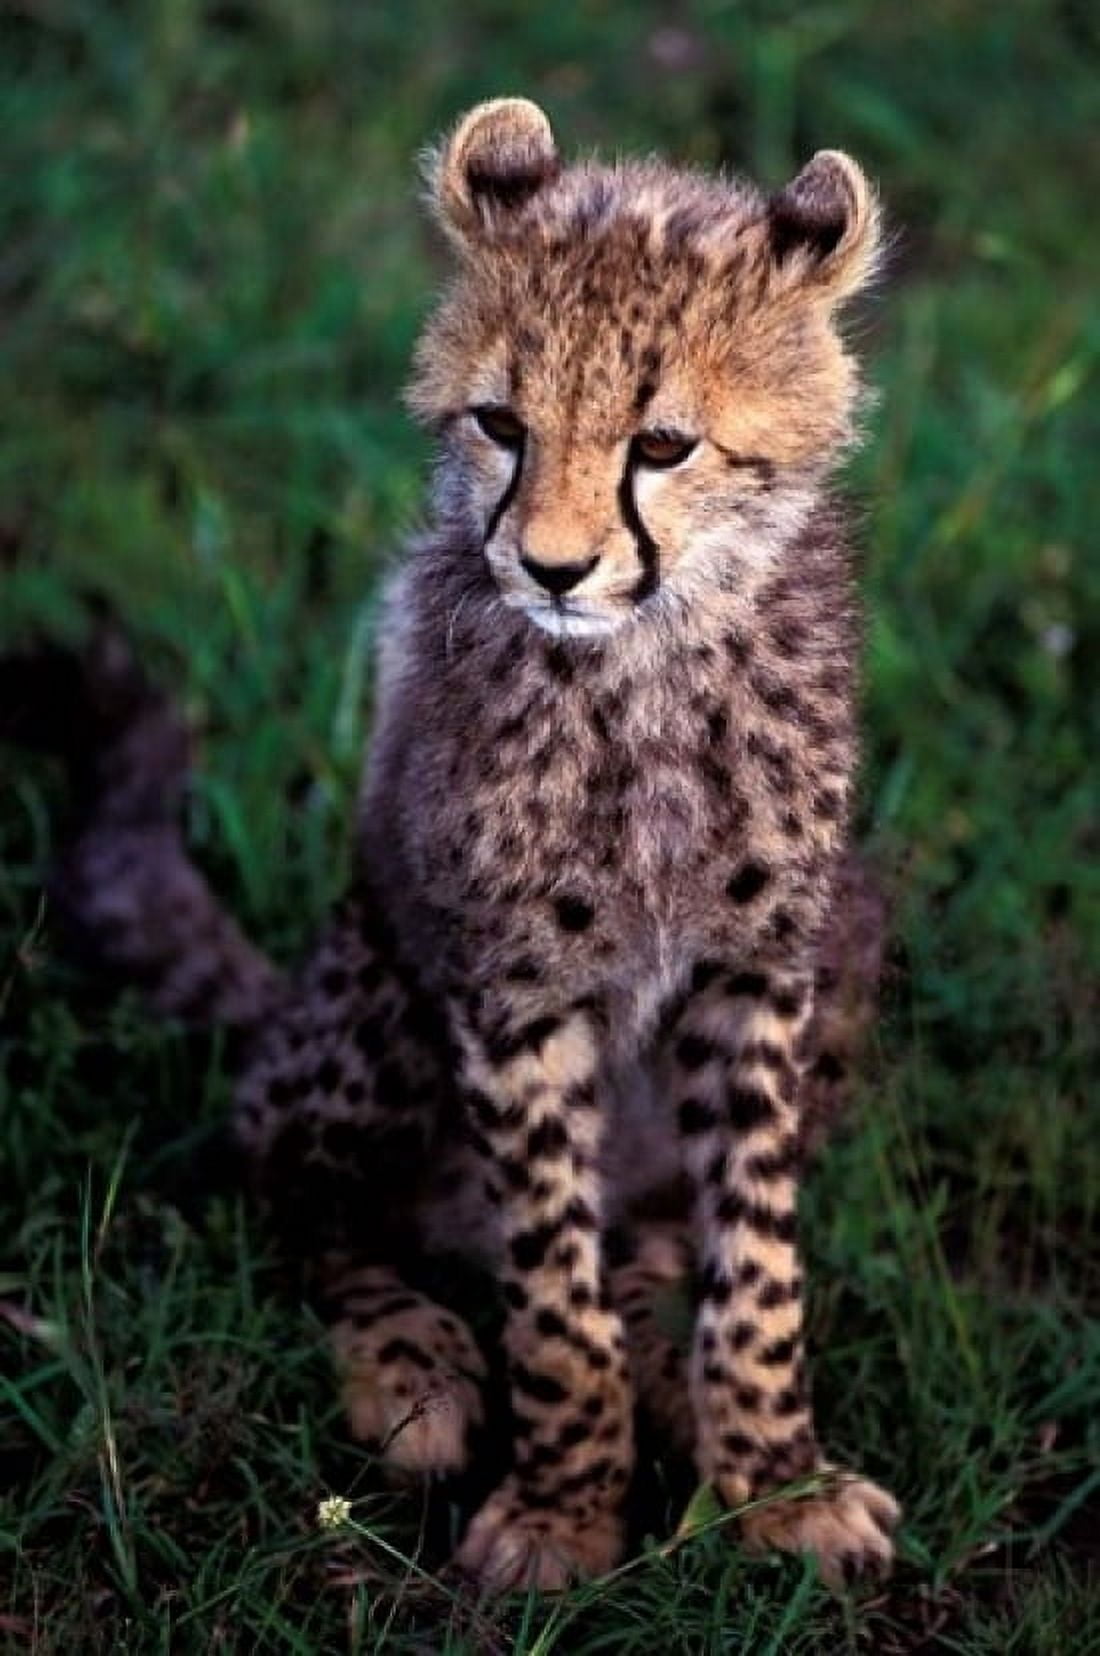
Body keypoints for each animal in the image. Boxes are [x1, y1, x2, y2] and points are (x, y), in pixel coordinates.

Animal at [5, 98, 901, 1593]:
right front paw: (563, 1511)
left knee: (649, 1235)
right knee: (291, 1183)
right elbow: (547, 1291)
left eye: (663, 445)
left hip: (855, 928)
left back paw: (661, 1357)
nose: (550, 568)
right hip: (371, 990)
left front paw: (774, 1476)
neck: (643, 667)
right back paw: (412, 1363)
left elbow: (754, 1265)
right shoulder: (508, 991)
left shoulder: (761, 967)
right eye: (500, 425)